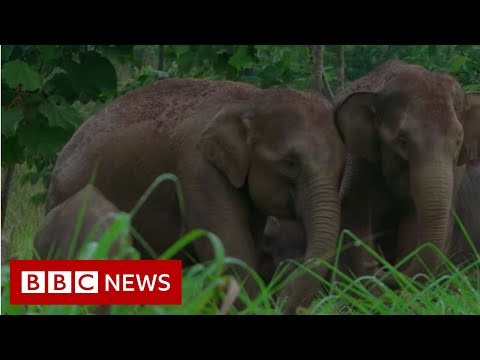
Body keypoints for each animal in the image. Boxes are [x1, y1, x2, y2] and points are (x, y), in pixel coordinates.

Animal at [44, 77, 344, 310]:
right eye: (290, 163)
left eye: (341, 169)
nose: (282, 297)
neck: (250, 100)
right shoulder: (197, 169)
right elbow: (231, 252)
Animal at [334, 59, 480, 284]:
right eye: (402, 140)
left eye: (458, 141)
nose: (380, 266)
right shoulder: (358, 163)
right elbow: (356, 222)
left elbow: (415, 228)